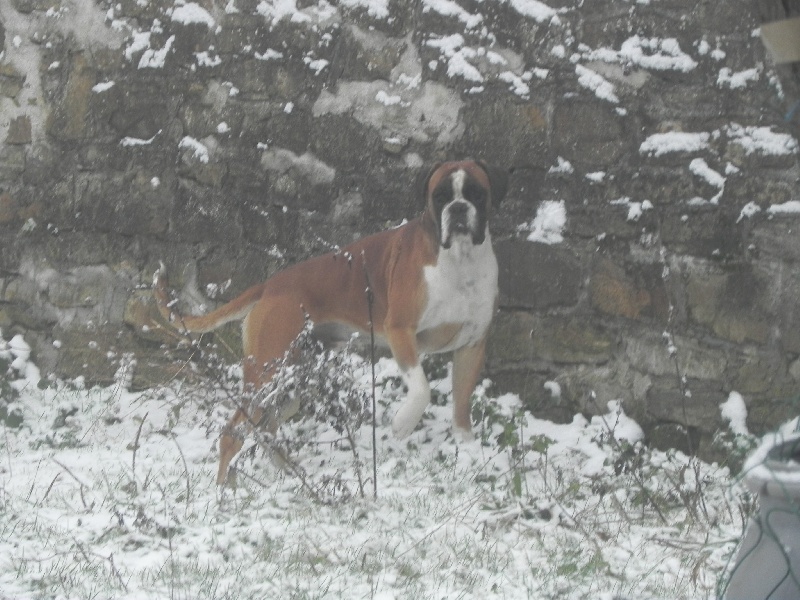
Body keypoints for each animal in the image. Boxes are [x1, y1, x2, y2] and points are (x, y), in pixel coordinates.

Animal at [155, 161, 506, 488]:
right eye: (440, 196)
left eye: (476, 193)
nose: (458, 208)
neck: (459, 261)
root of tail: (270, 286)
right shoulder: (400, 331)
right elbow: (422, 388)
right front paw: (404, 423)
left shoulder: (472, 347)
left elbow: (461, 406)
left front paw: (468, 450)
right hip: (267, 374)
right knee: (234, 432)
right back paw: (225, 493)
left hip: (290, 382)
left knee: (266, 427)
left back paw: (292, 475)